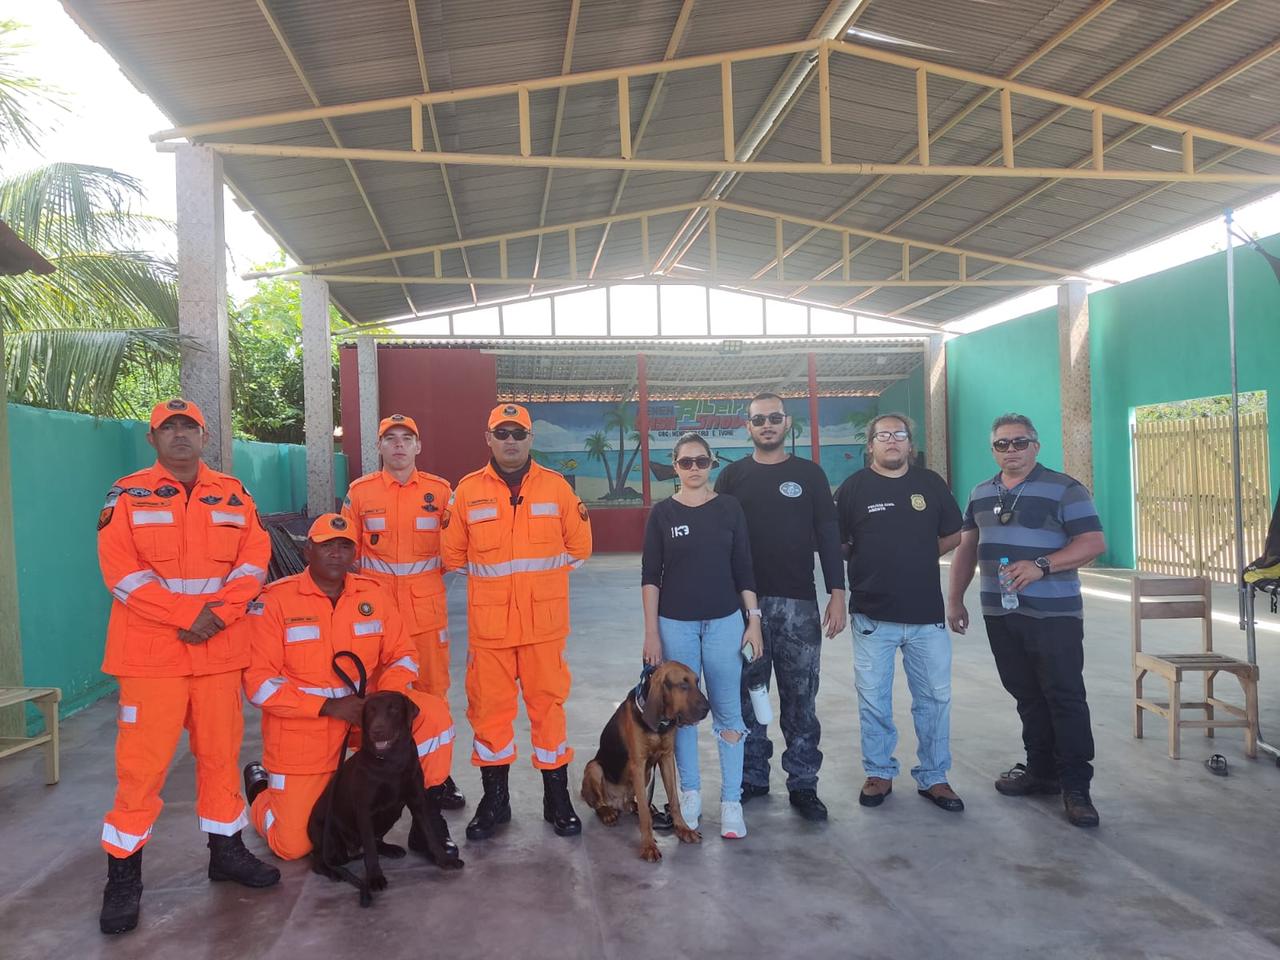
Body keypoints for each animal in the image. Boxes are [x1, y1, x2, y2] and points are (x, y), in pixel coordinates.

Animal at [309, 691, 465, 911]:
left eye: (393, 709)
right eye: (370, 711)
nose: (377, 731)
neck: (391, 762)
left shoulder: (418, 801)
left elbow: (430, 834)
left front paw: (443, 859)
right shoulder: (364, 811)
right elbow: (370, 851)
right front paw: (375, 878)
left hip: (391, 815)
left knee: (374, 842)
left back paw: (391, 849)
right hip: (329, 834)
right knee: (320, 860)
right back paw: (333, 871)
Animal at [581, 660, 711, 865]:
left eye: (697, 682)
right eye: (683, 685)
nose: (708, 708)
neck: (661, 723)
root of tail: (617, 802)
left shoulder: (666, 758)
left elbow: (674, 801)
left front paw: (683, 829)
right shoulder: (639, 763)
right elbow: (644, 816)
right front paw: (648, 846)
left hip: (647, 774)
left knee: (634, 802)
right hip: (594, 768)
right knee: (598, 803)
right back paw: (607, 812)